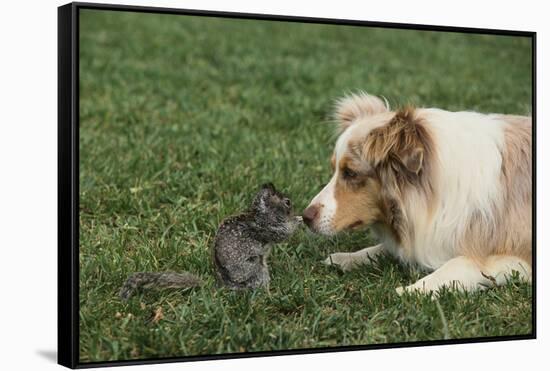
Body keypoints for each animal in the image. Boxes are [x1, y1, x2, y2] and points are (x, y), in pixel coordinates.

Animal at [118, 184, 304, 302]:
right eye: (287, 202)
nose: (295, 209)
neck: (261, 212)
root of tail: (224, 286)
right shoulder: (269, 227)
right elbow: (283, 233)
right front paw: (298, 220)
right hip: (257, 269)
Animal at [304, 93, 532, 296]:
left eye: (350, 173)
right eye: (334, 169)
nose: (305, 217)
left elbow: (460, 263)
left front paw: (411, 290)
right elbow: (382, 248)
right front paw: (346, 258)